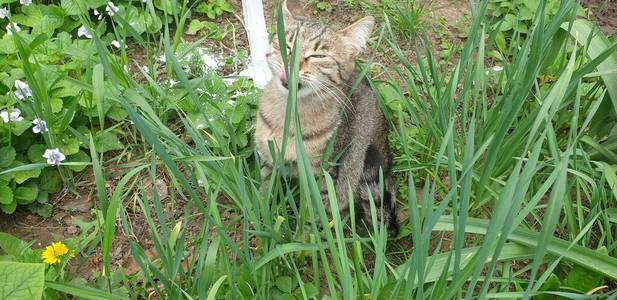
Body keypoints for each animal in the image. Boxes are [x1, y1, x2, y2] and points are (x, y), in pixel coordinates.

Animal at [255, 1, 400, 236]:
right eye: (287, 45)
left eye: (318, 56)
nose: (291, 63)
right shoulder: (269, 159)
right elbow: (262, 192)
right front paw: (258, 222)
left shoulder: (322, 175)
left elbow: (311, 215)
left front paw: (304, 239)